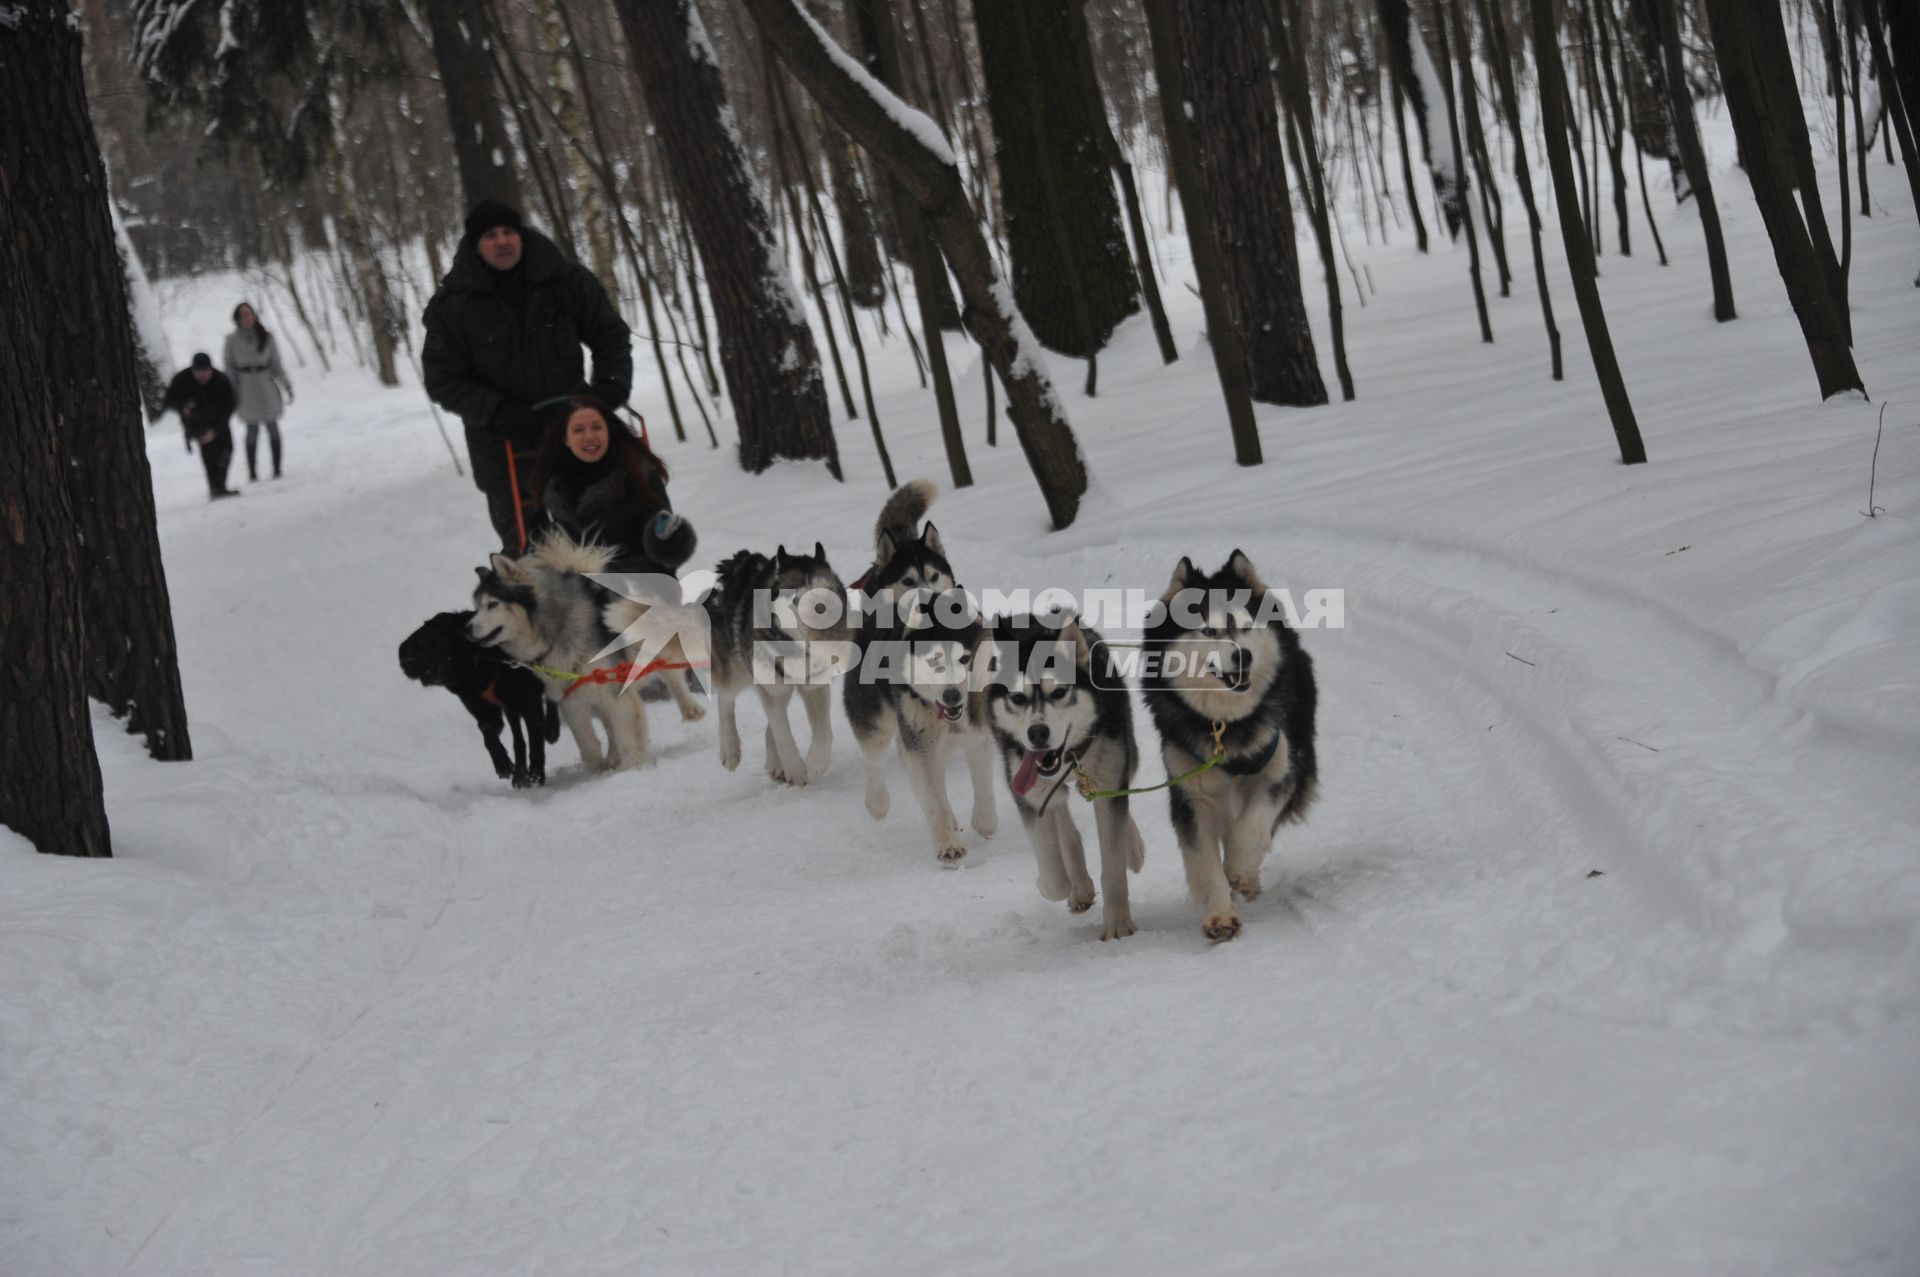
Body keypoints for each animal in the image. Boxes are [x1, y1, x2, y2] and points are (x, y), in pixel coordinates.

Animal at [397, 610, 560, 783]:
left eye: (425, 643)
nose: (403, 659)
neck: (479, 660)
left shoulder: (529, 703)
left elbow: (534, 741)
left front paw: (536, 775)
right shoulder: (486, 710)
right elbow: (487, 732)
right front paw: (503, 764)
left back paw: (551, 729)